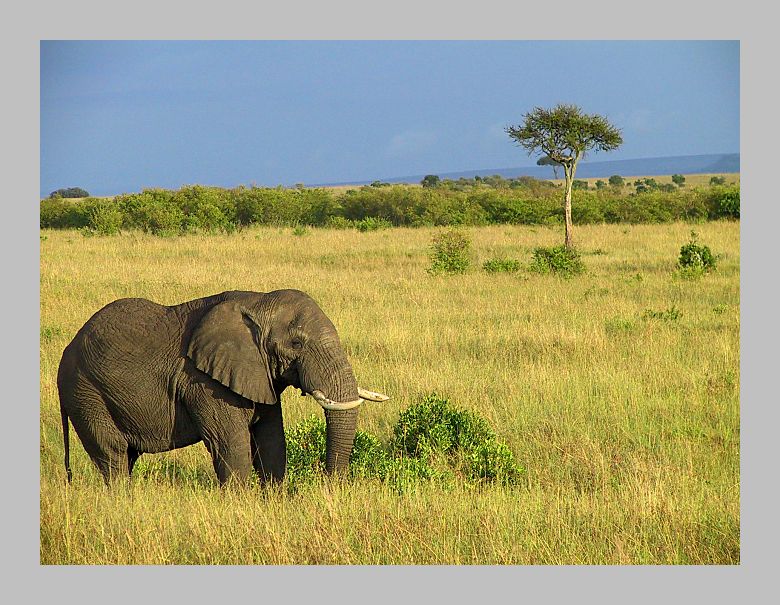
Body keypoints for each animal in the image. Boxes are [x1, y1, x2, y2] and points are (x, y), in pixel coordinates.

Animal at [58, 290, 390, 486]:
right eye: (297, 343)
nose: (330, 487)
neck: (257, 302)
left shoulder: (258, 376)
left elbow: (272, 442)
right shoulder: (204, 383)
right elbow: (233, 445)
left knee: (126, 457)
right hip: (86, 394)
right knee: (112, 454)